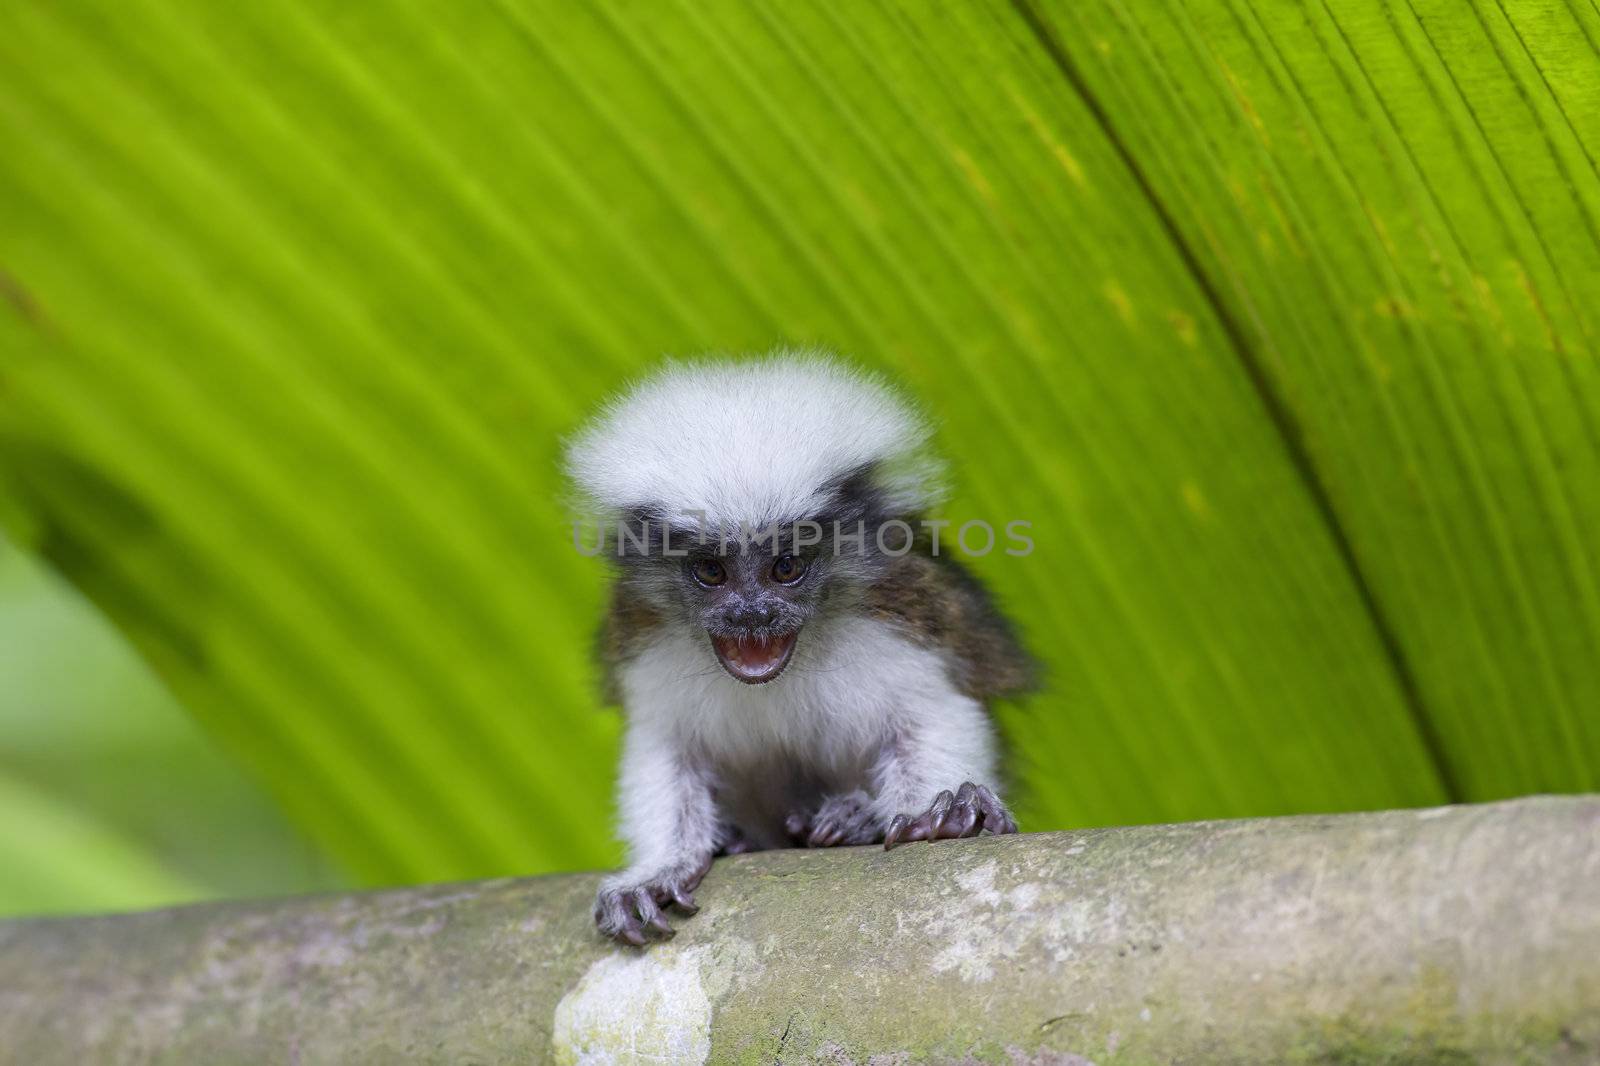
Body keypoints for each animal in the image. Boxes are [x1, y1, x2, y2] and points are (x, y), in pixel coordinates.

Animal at [566, 348, 1036, 941]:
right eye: (711, 572)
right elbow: (664, 751)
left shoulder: (906, 612)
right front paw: (658, 869)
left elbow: (936, 711)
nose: (752, 615)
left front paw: (946, 815)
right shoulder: (642, 635)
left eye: (786, 567)